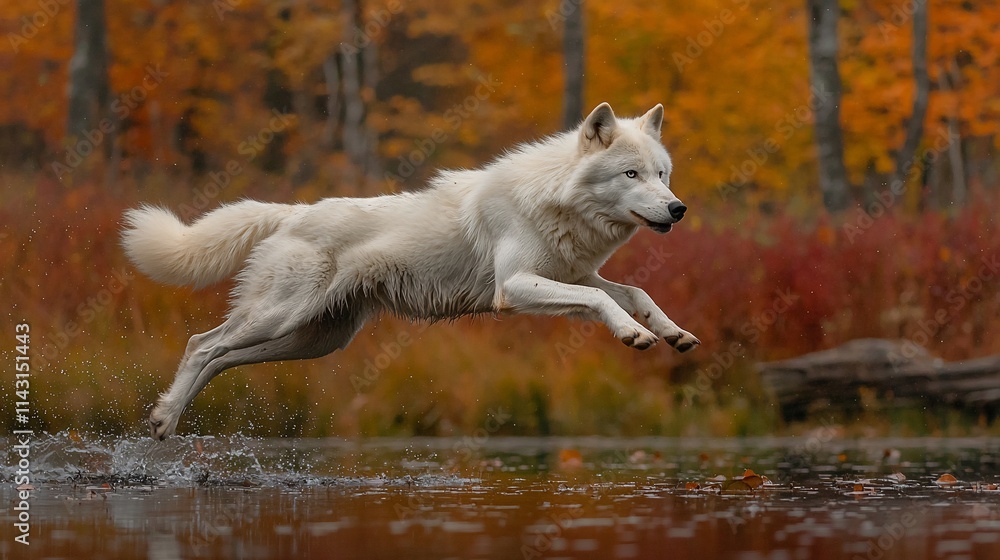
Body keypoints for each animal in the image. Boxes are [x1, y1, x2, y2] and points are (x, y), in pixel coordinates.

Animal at [122, 102, 700, 440]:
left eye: (663, 174)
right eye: (631, 174)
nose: (678, 209)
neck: (554, 200)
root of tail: (291, 212)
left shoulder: (574, 278)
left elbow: (634, 292)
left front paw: (673, 333)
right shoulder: (515, 287)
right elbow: (608, 303)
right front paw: (634, 336)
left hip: (311, 340)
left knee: (219, 357)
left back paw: (165, 419)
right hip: (279, 319)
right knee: (202, 344)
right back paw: (164, 418)